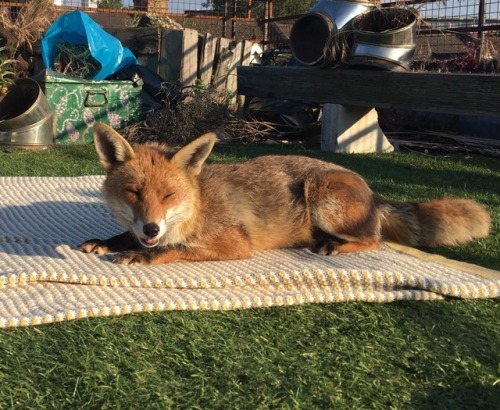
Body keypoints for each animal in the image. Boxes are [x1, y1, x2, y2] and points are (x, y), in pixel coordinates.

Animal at [79, 121, 492, 266]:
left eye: (168, 196)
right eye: (133, 192)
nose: (151, 228)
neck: (196, 207)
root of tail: (373, 192)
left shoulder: (235, 244)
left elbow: (174, 249)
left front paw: (142, 254)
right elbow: (125, 235)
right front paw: (109, 241)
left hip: (321, 195)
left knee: (375, 240)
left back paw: (333, 246)